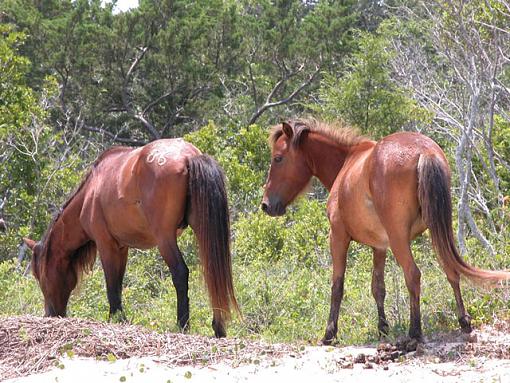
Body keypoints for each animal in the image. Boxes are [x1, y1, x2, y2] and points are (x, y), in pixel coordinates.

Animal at [22, 140, 238, 338]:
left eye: (40, 276)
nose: (51, 314)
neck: (90, 192)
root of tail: (188, 156)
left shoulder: (106, 245)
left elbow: (111, 286)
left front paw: (115, 318)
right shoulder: (122, 247)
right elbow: (118, 283)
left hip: (165, 238)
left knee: (180, 273)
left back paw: (182, 325)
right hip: (202, 229)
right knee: (211, 272)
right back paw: (218, 327)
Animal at [262, 118, 510, 344]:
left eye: (278, 158)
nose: (266, 205)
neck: (347, 163)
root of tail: (425, 152)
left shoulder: (338, 236)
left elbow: (337, 286)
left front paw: (329, 334)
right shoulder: (379, 246)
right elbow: (378, 287)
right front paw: (383, 328)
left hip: (399, 239)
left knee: (413, 275)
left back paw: (414, 333)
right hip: (437, 230)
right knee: (451, 270)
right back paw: (463, 321)